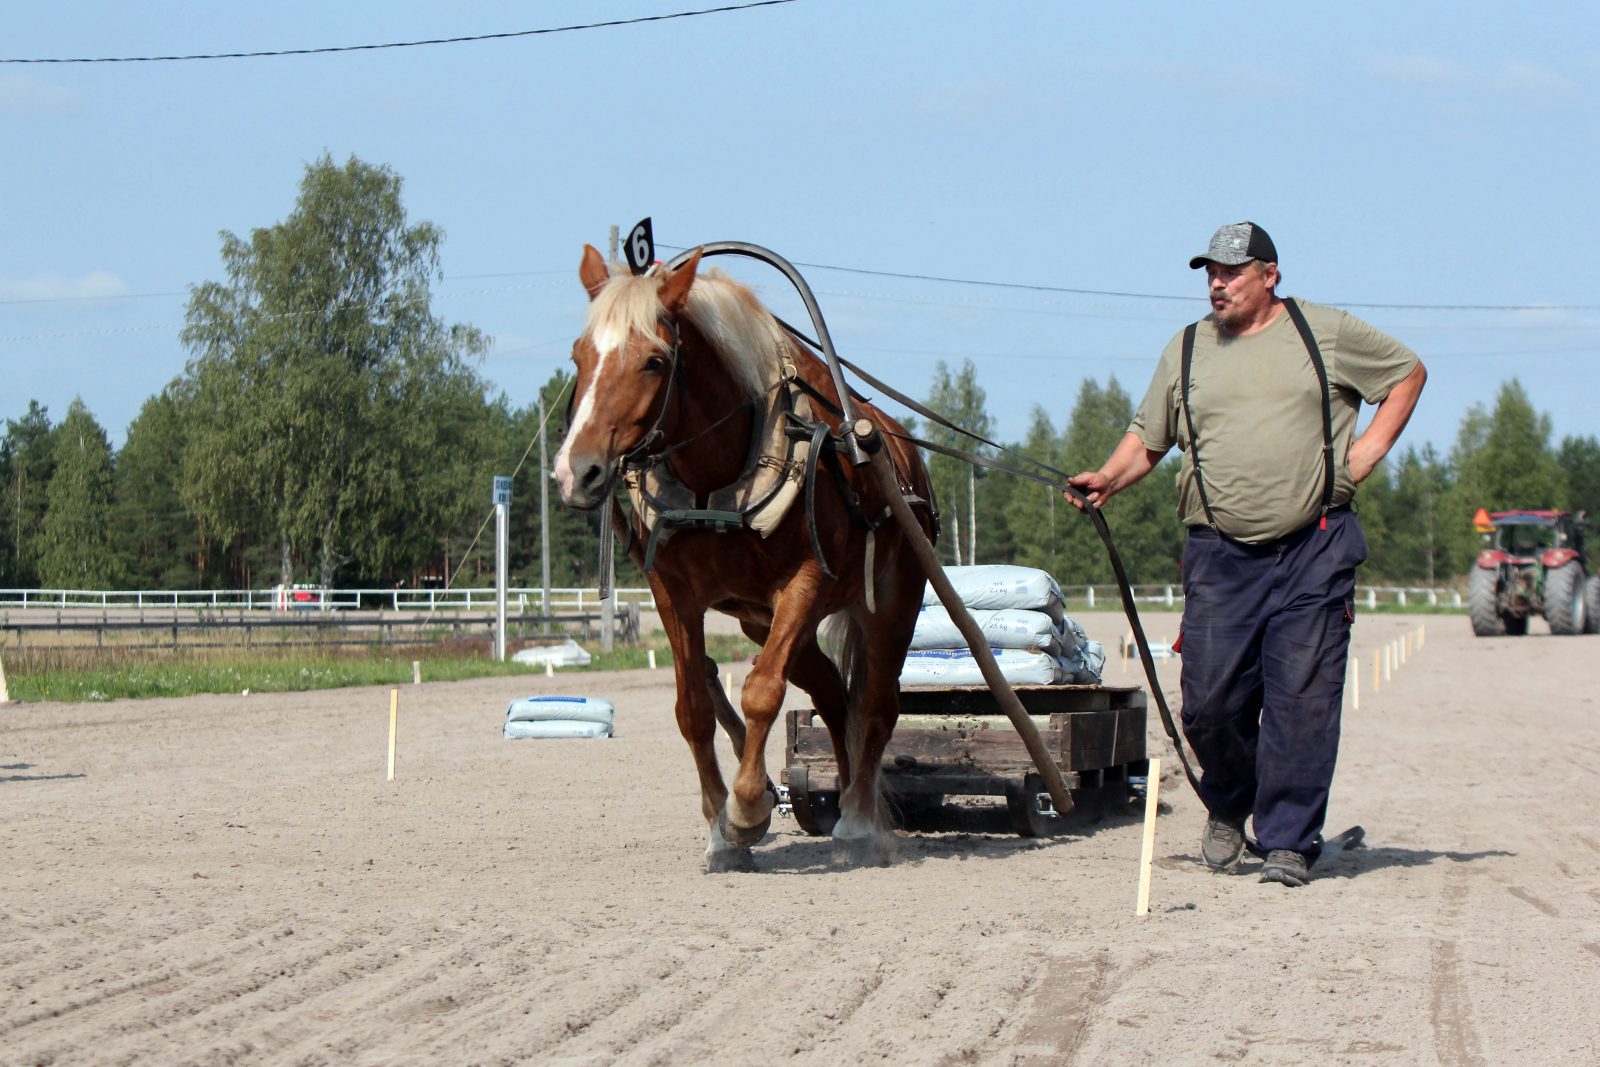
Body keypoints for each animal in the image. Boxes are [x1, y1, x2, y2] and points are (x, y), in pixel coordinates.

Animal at [556, 251, 934, 876]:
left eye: (655, 361)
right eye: (580, 356)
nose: (576, 471)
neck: (718, 479)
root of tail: (904, 455)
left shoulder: (805, 583)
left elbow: (759, 692)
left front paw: (748, 810)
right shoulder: (672, 592)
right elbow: (693, 709)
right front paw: (719, 829)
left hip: (891, 605)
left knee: (877, 705)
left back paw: (858, 821)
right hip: (767, 622)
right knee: (835, 697)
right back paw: (842, 802)